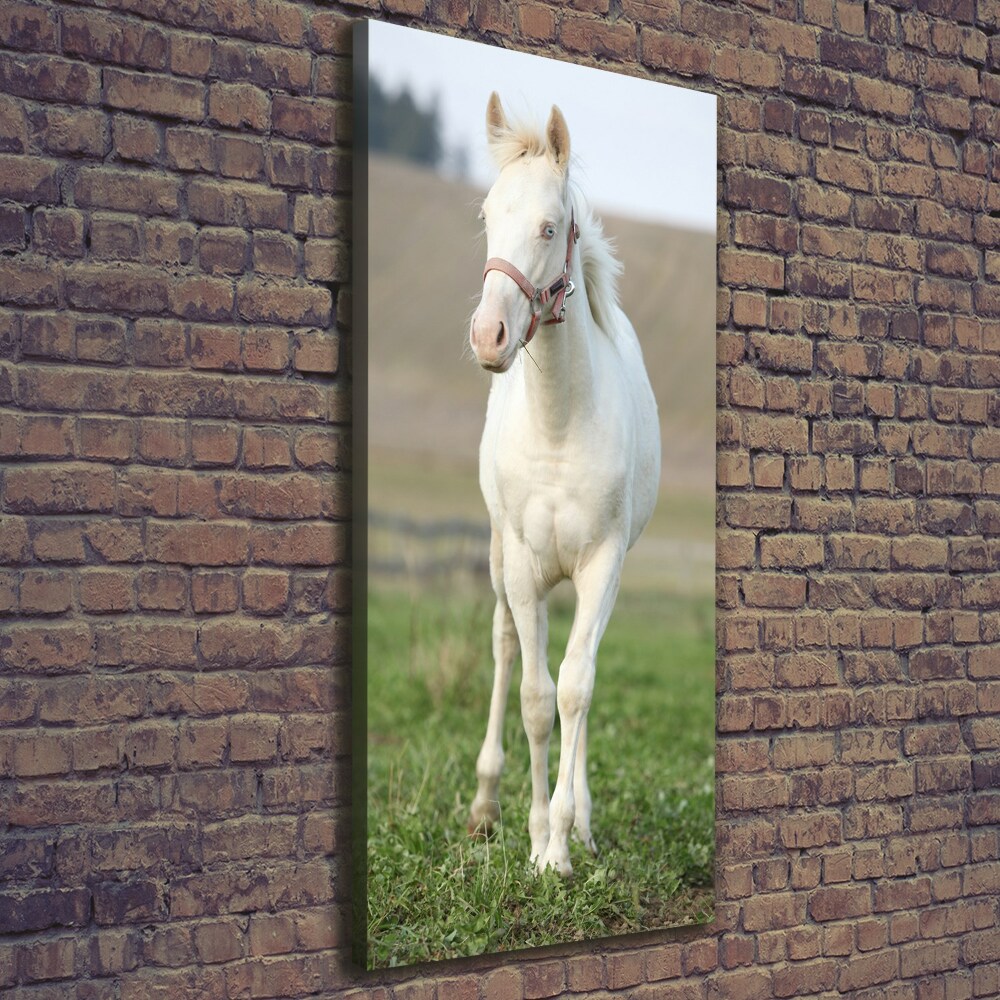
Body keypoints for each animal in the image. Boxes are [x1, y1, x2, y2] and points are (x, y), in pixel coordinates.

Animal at [468, 94, 664, 876]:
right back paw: (486, 806)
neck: (557, 427)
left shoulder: (602, 565)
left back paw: (578, 821)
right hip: (502, 560)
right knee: (503, 648)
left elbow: (576, 689)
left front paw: (559, 844)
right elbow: (533, 695)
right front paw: (531, 837)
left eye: (550, 226)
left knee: (583, 670)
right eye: (488, 215)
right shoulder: (524, 567)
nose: (488, 335)